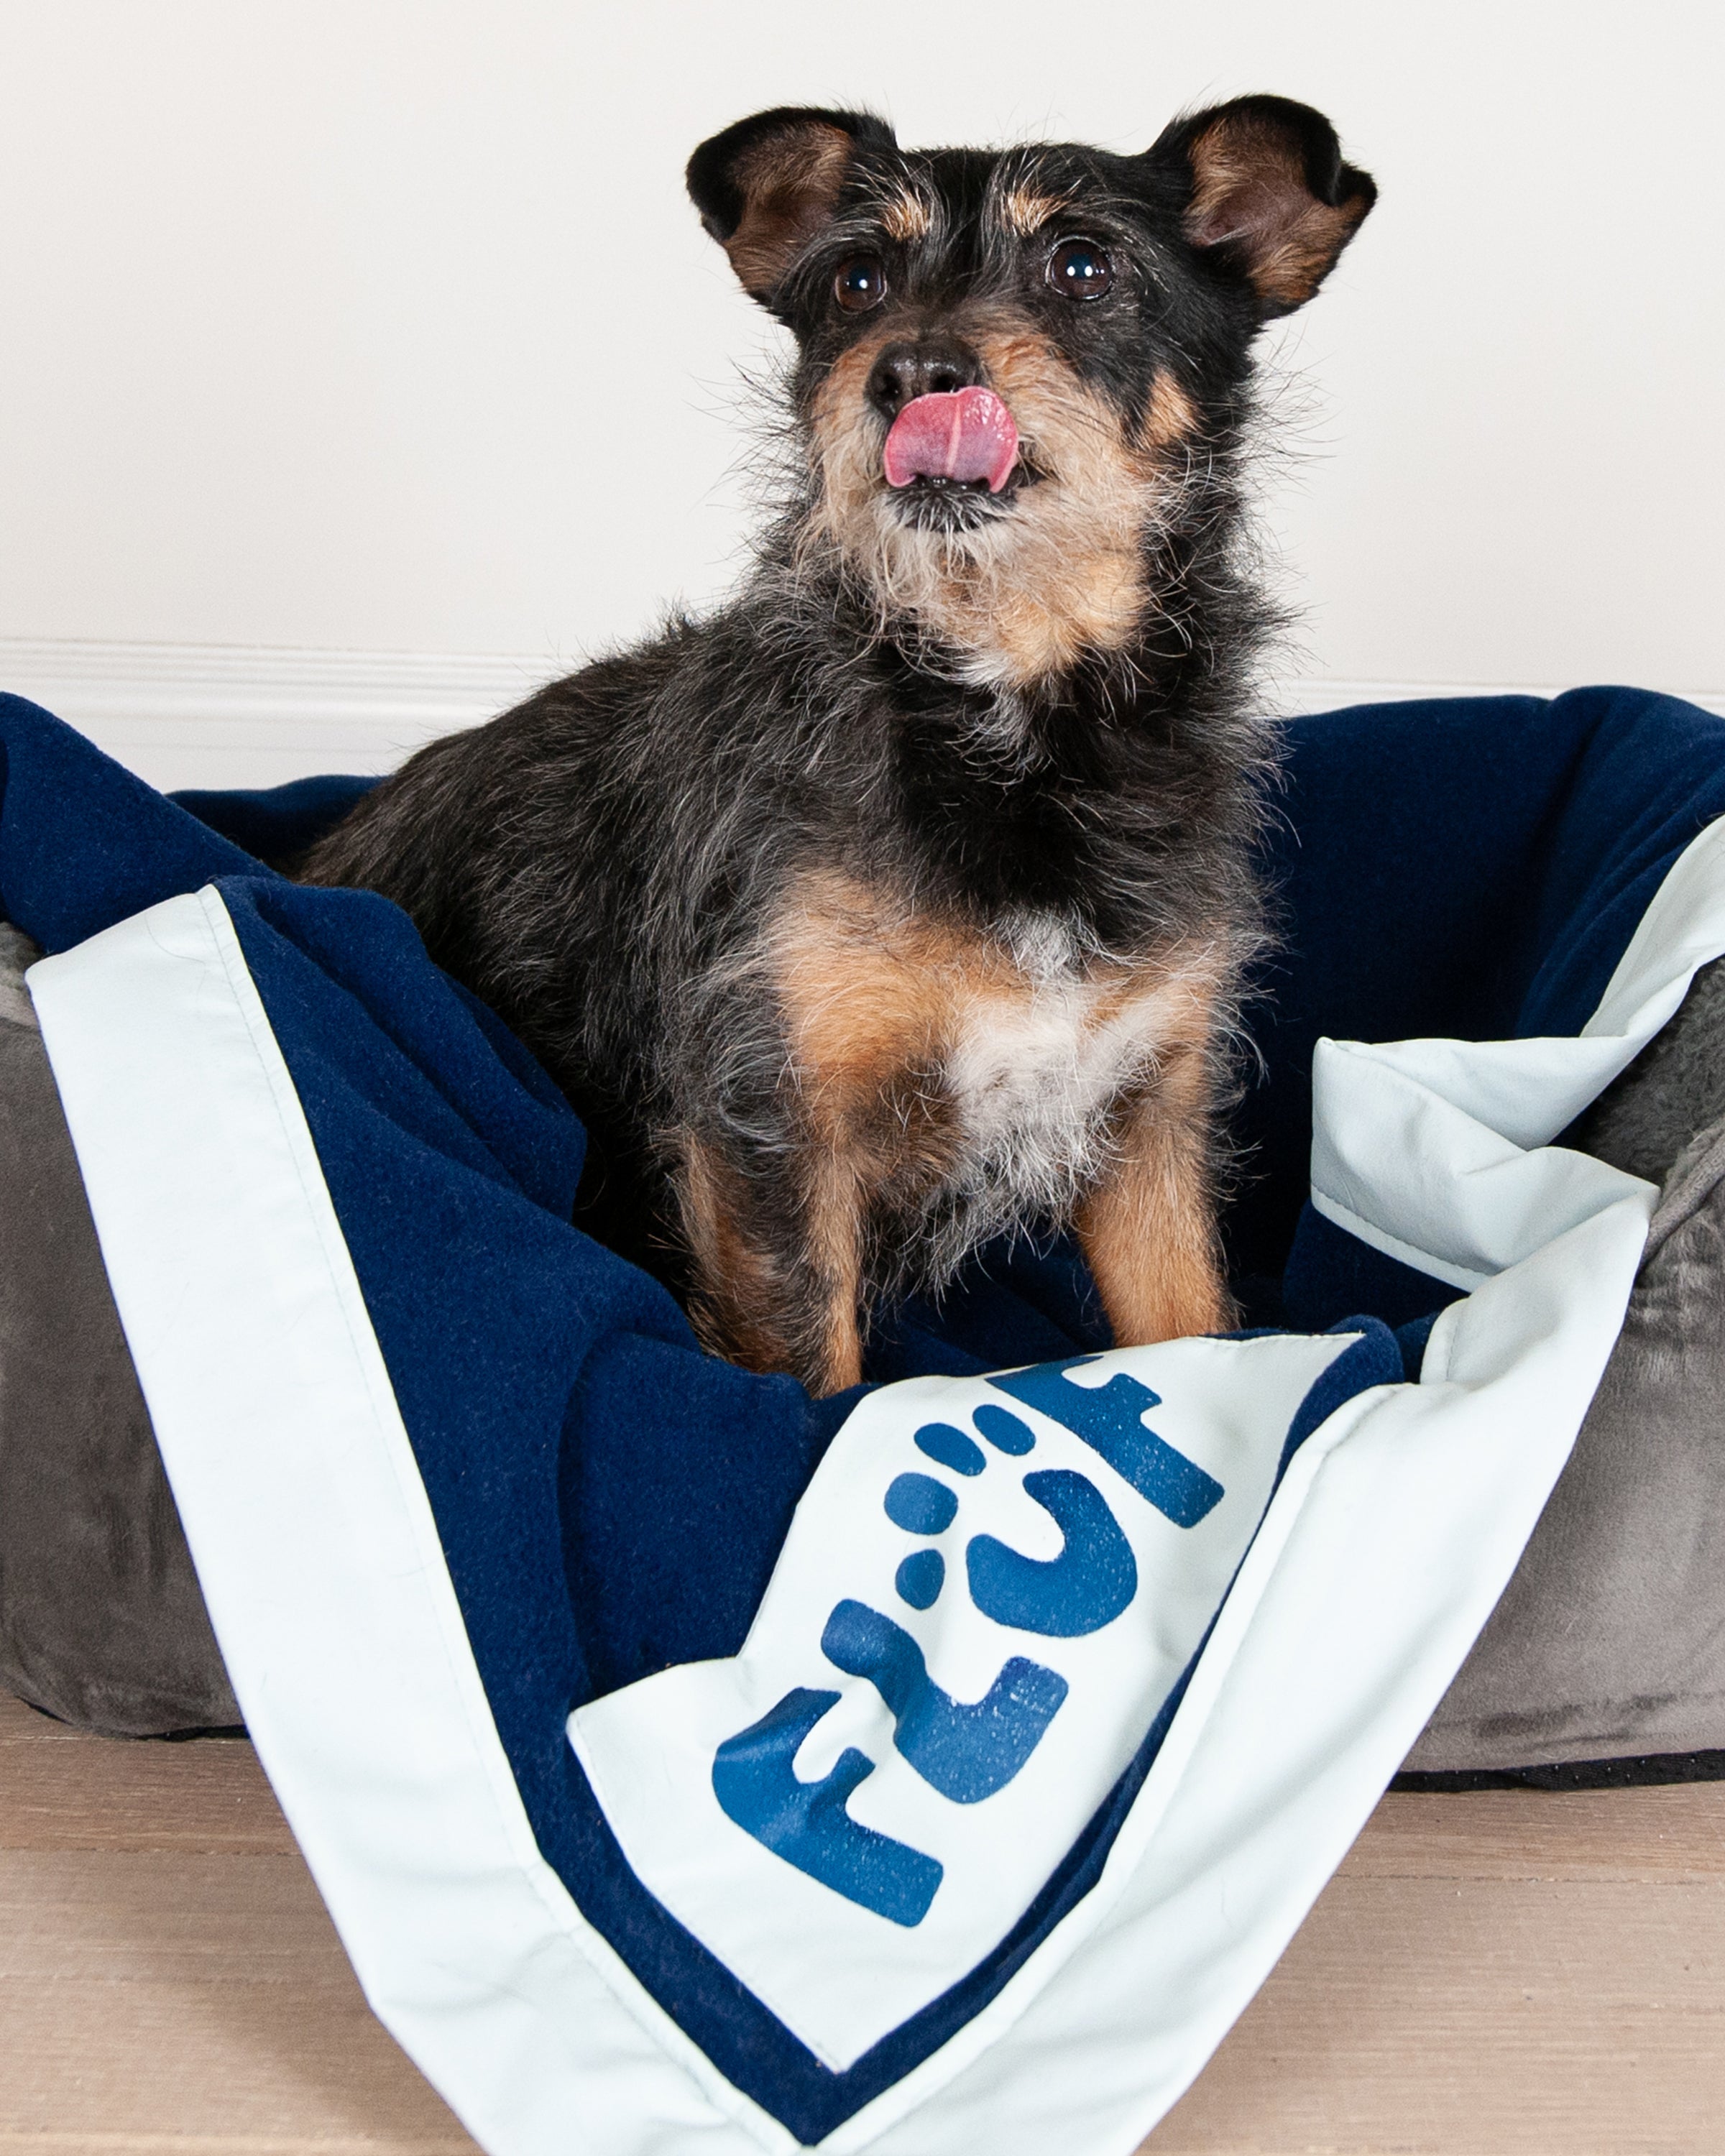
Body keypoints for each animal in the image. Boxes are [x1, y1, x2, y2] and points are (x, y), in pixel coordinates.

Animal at [298, 93, 1371, 1397]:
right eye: (857, 282)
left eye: (1083, 265)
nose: (914, 371)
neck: (1006, 717)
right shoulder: (773, 1122)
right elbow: (819, 1379)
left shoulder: (1147, 1117)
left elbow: (1191, 1333)